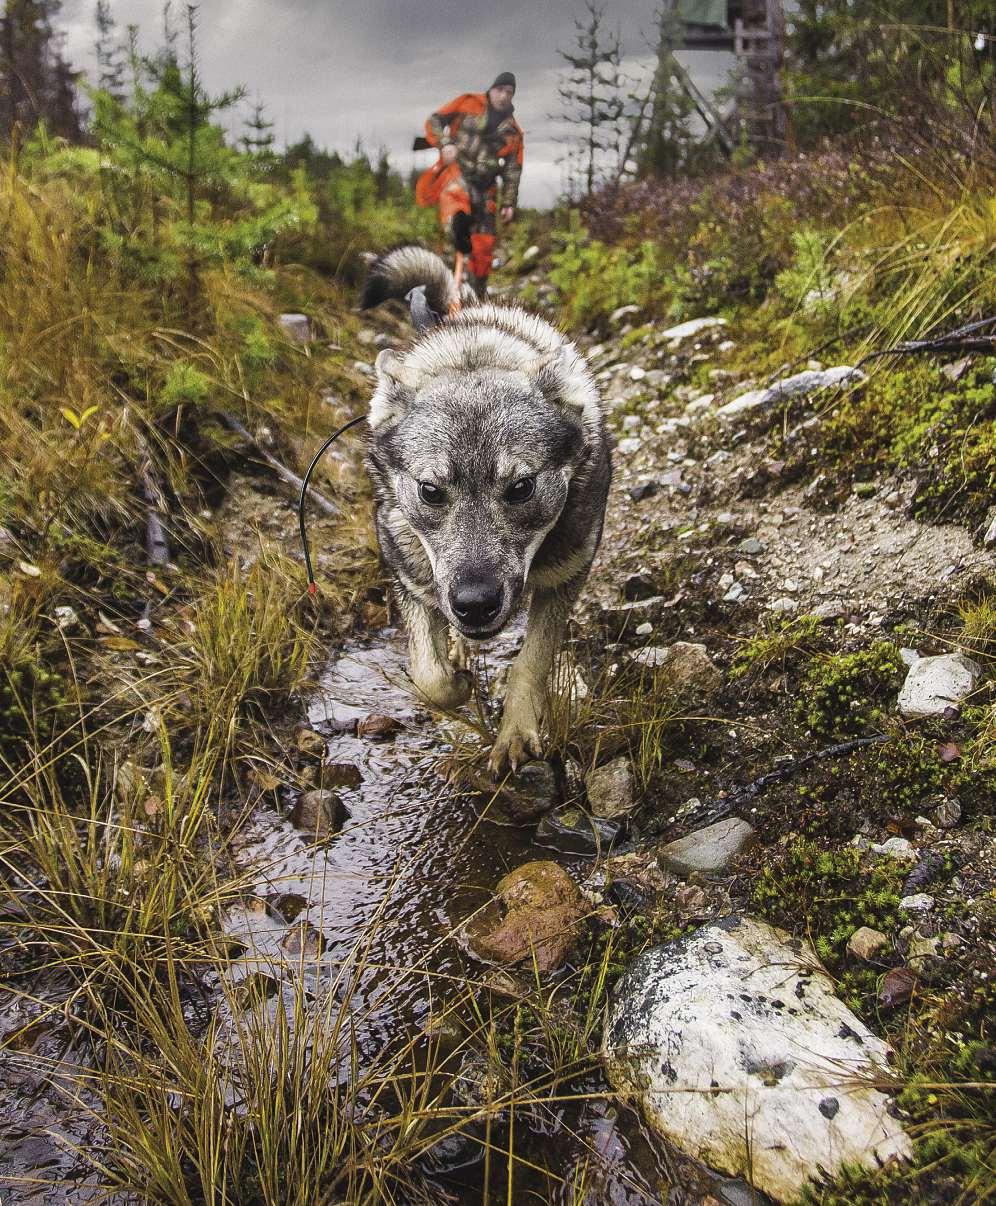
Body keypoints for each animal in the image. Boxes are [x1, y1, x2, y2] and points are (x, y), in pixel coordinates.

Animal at [356, 247, 605, 771]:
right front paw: (457, 680)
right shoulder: (411, 580)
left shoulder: (563, 579)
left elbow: (531, 663)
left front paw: (515, 734)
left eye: (521, 487)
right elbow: (428, 676)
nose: (474, 604)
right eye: (430, 490)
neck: (474, 355)